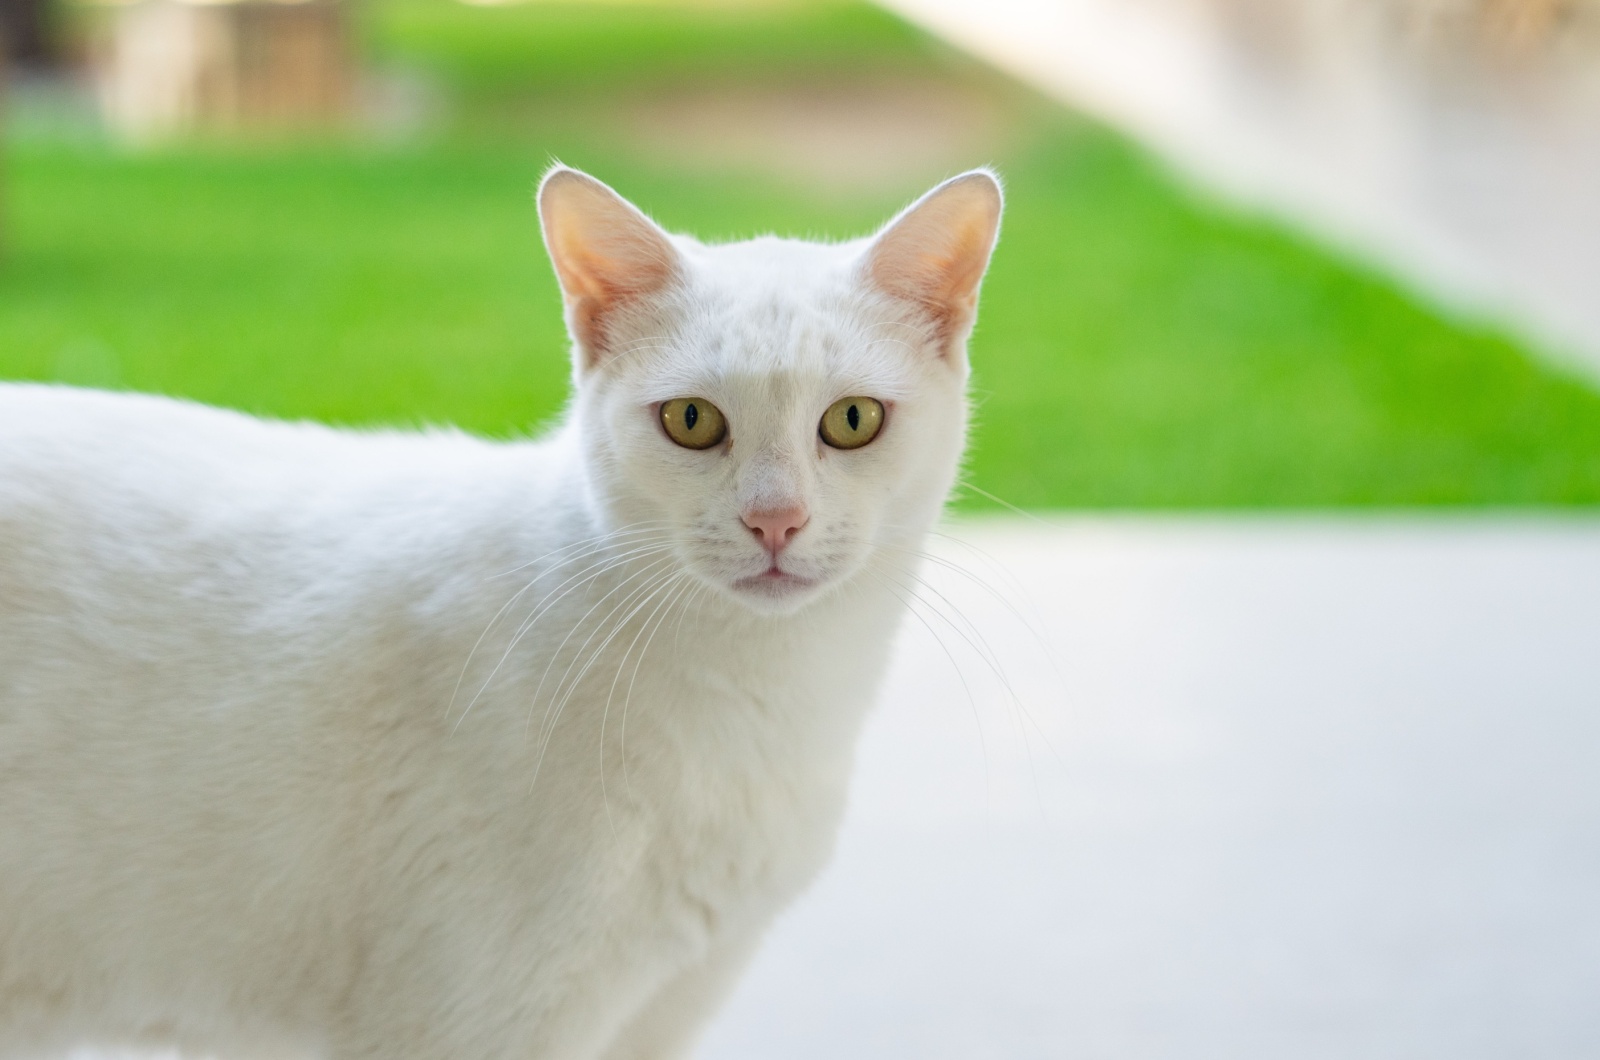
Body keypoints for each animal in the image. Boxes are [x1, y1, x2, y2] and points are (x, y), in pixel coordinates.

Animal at [0, 168, 998, 1060]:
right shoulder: (468, 1023)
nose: (776, 519)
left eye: (854, 420)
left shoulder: (664, 1013)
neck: (765, 706)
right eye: (691, 420)